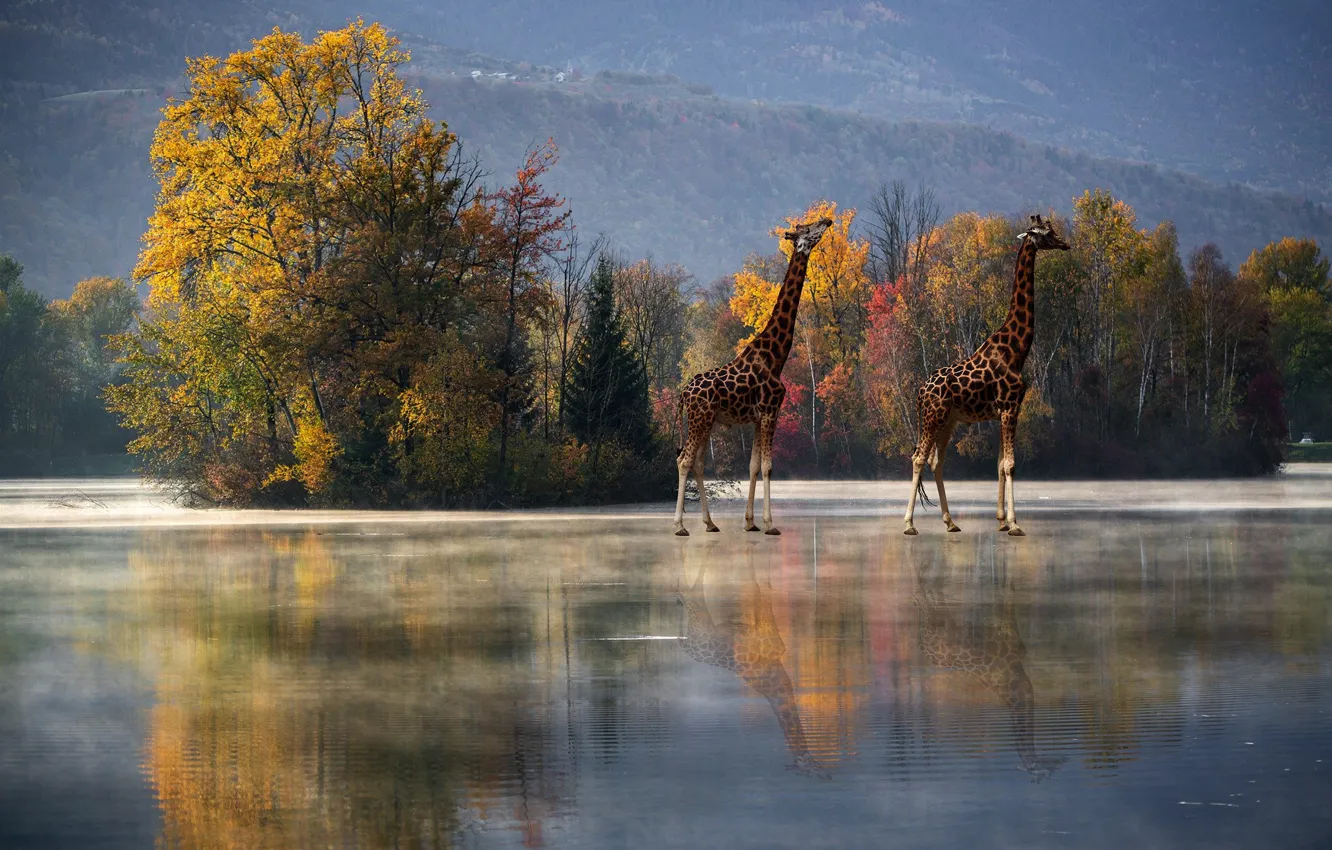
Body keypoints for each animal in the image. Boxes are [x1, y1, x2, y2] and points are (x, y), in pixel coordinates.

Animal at [672, 217, 834, 536]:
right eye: (808, 228)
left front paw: (750, 522)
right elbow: (769, 466)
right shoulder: (772, 409)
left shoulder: (759, 417)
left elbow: (754, 466)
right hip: (700, 420)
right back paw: (680, 525)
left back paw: (710, 523)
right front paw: (770, 524)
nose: (827, 219)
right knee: (684, 460)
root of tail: (684, 393)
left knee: (697, 463)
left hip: (705, 421)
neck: (776, 355)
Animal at [902, 214, 1070, 536]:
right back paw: (908, 524)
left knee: (936, 461)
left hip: (948, 420)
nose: (1065, 244)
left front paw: (1002, 520)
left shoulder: (1004, 410)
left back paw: (950, 522)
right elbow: (1010, 465)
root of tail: (919, 393)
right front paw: (1015, 524)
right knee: (918, 458)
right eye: (1046, 233)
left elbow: (999, 464)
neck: (1016, 349)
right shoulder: (1010, 406)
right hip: (933, 417)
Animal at [912, 560, 1067, 782]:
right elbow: (1009, 591)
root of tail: (921, 642)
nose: (1061, 760)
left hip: (944, 621)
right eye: (1047, 771)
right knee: (921, 597)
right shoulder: (1013, 640)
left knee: (931, 595)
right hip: (939, 624)